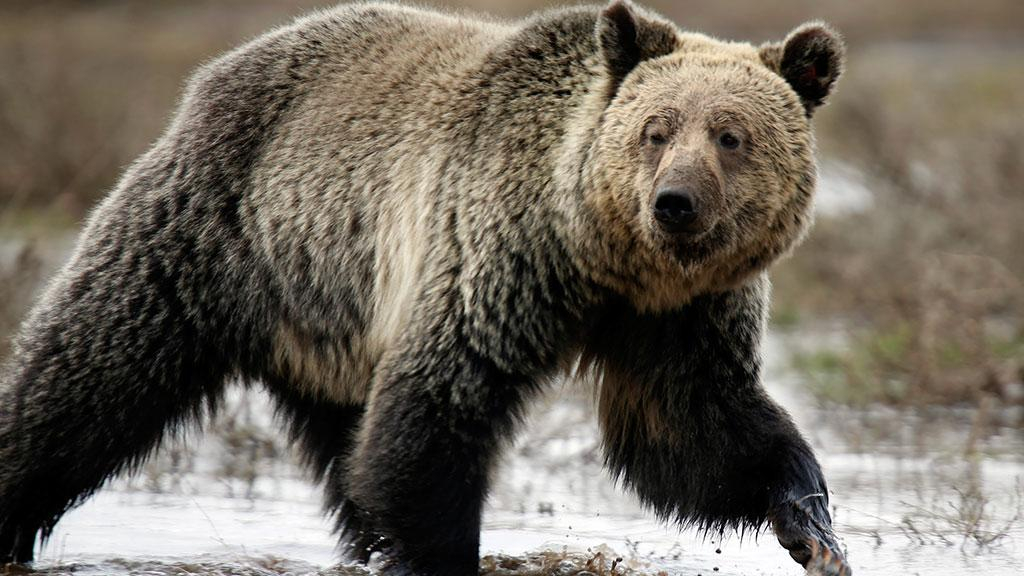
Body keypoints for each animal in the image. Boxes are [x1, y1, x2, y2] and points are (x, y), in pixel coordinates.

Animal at [0, 1, 848, 574]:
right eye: (657, 129)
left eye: (731, 136)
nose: (675, 202)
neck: (604, 259)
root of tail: (218, 71)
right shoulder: (496, 254)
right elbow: (439, 406)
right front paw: (436, 553)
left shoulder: (680, 317)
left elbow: (693, 430)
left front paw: (812, 525)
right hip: (216, 232)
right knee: (89, 372)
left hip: (332, 317)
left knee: (346, 442)